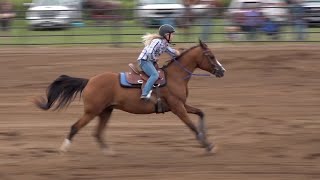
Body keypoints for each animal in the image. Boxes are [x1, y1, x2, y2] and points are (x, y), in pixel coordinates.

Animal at [33, 40, 225, 154]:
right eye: (211, 56)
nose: (222, 71)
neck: (174, 77)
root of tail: (89, 81)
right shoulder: (177, 108)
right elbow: (192, 126)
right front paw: (207, 145)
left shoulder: (182, 105)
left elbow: (201, 113)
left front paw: (206, 138)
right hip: (92, 111)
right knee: (75, 127)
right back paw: (63, 149)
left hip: (106, 111)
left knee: (97, 132)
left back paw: (108, 152)